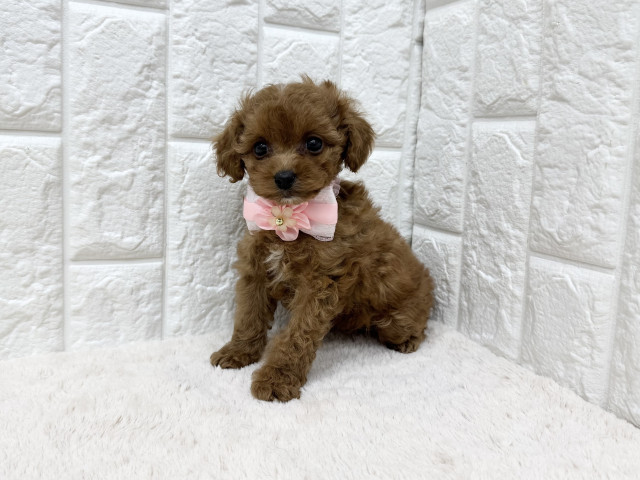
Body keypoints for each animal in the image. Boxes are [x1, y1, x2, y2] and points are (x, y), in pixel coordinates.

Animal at [210, 77, 435, 402]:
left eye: (314, 143)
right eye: (260, 147)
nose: (284, 177)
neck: (289, 218)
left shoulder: (320, 283)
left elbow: (298, 335)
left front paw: (277, 379)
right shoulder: (256, 270)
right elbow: (248, 315)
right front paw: (238, 352)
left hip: (399, 318)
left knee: (412, 326)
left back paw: (408, 340)